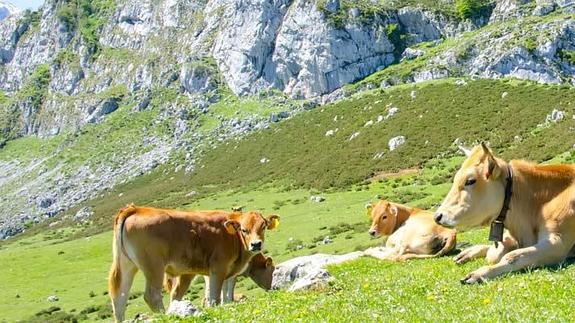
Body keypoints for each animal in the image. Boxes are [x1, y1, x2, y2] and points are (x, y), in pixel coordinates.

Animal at [109, 206, 280, 322]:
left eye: (263, 226)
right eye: (244, 230)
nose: (256, 244)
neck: (233, 237)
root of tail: (136, 209)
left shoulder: (228, 271)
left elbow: (226, 294)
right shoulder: (218, 268)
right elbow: (214, 296)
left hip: (127, 265)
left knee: (119, 297)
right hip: (153, 265)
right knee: (152, 295)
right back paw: (165, 316)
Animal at [436, 144, 575, 284]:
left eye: (470, 181)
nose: (437, 216)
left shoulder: (558, 241)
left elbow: (512, 256)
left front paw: (480, 273)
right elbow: (494, 253)